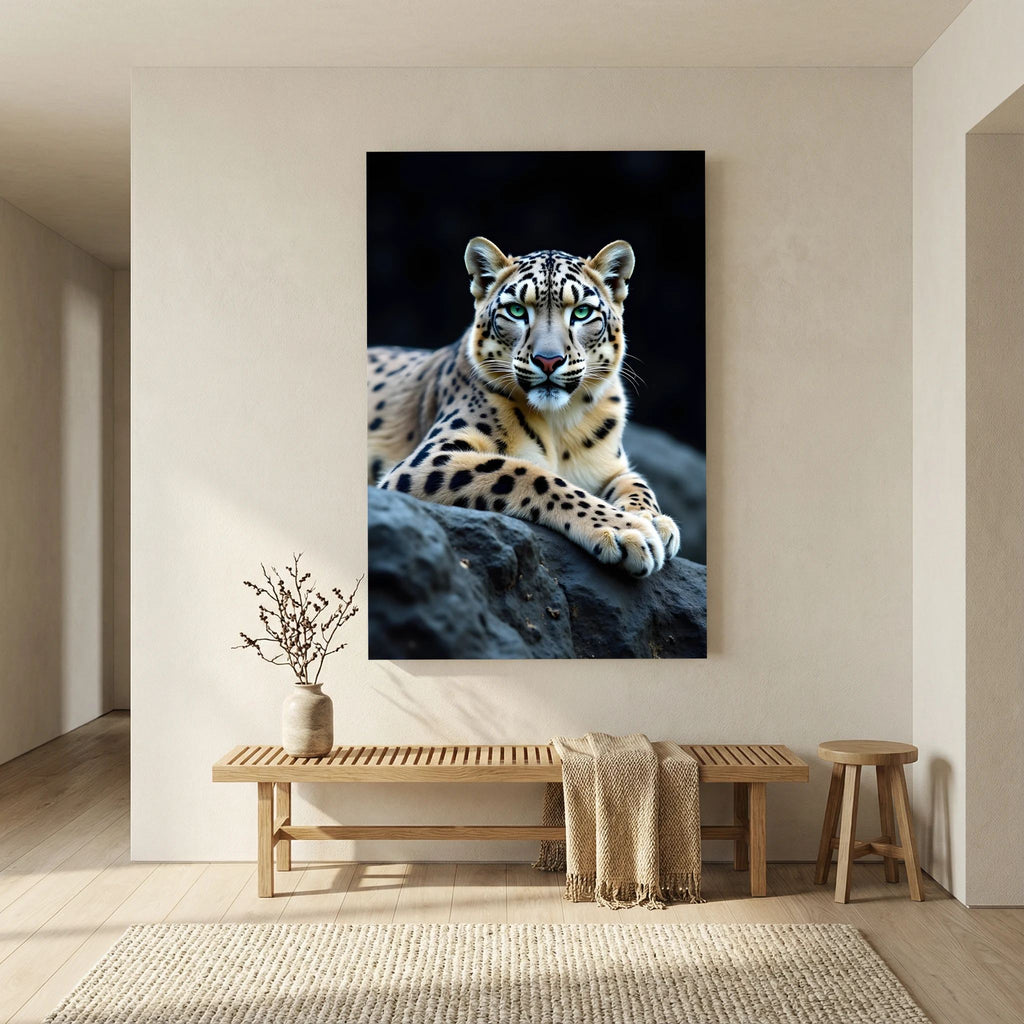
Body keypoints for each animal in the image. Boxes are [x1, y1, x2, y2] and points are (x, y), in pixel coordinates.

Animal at [366, 237, 680, 577]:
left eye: (582, 312)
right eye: (516, 310)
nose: (548, 360)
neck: (560, 424)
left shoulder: (611, 466)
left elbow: (638, 484)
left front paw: (655, 520)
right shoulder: (430, 457)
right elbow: (526, 472)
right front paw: (628, 530)